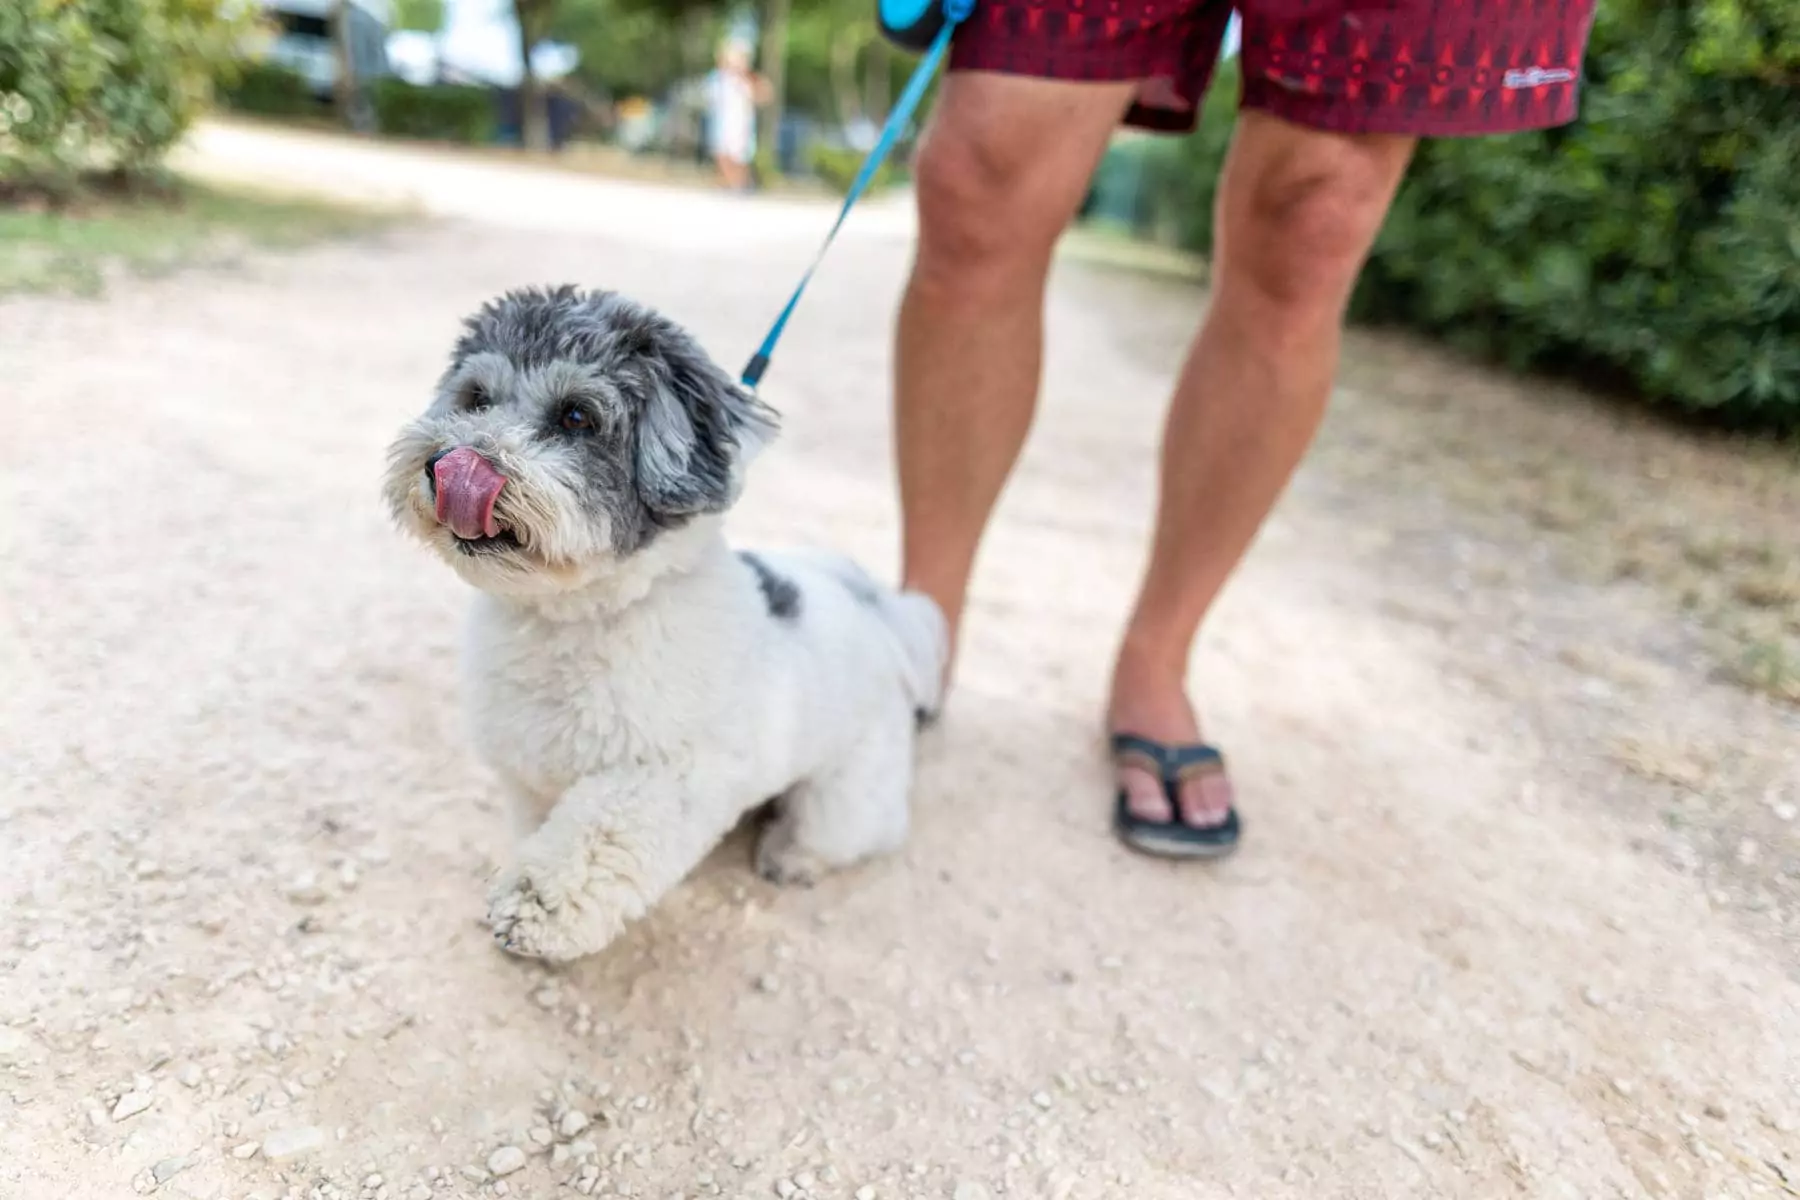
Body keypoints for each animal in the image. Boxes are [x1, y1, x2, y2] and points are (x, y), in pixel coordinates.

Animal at [379, 286, 943, 964]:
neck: (576, 619)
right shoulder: (527, 775)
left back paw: (791, 856)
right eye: (476, 398)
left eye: (576, 417)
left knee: (853, 830)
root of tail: (881, 611)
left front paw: (534, 909)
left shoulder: (664, 777)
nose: (448, 463)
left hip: (849, 787)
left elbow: (594, 840)